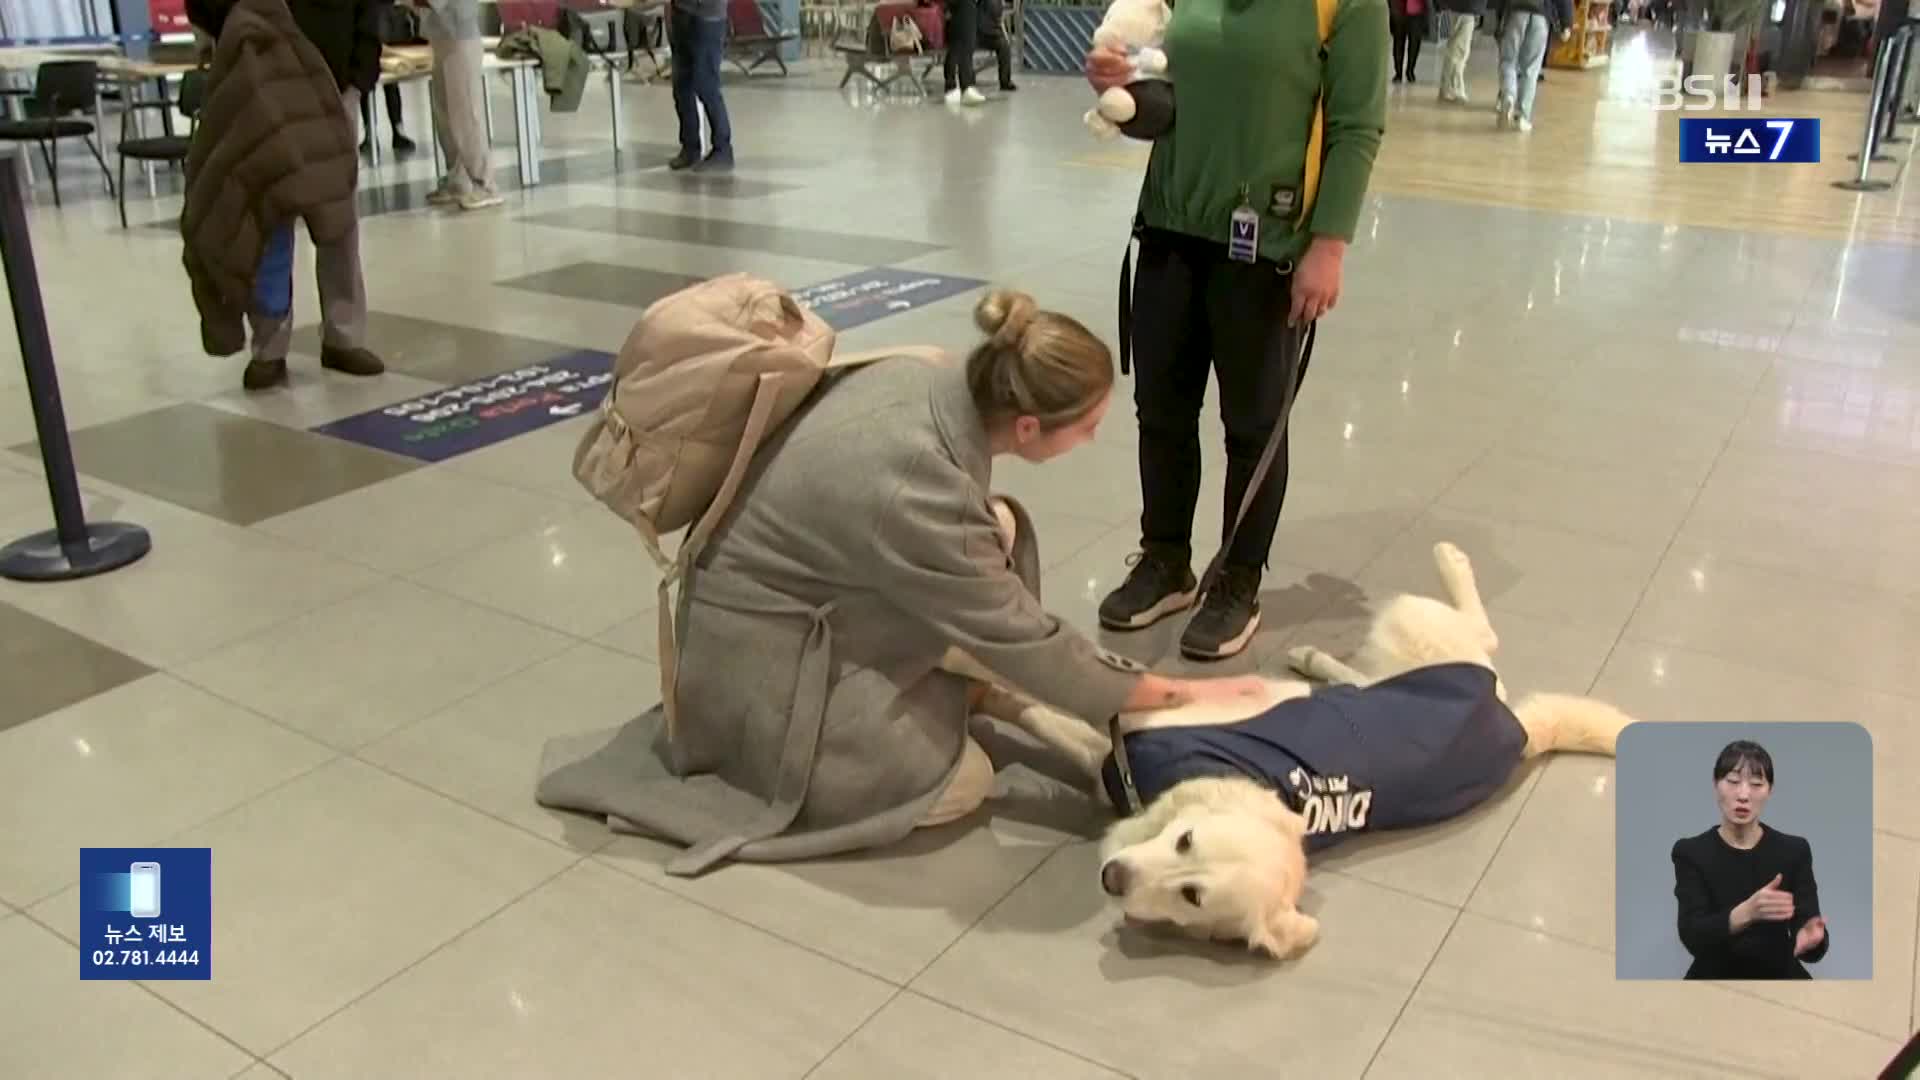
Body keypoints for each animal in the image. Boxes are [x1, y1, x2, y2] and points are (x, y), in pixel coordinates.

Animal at [975, 538, 1635, 957]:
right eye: (1186, 840)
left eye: (1192, 895)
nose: (1113, 877)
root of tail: (1517, 727)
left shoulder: (1116, 740)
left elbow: (1041, 705)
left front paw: (984, 693)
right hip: (1417, 650)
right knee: (1432, 649)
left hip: (1415, 633)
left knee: (1473, 632)